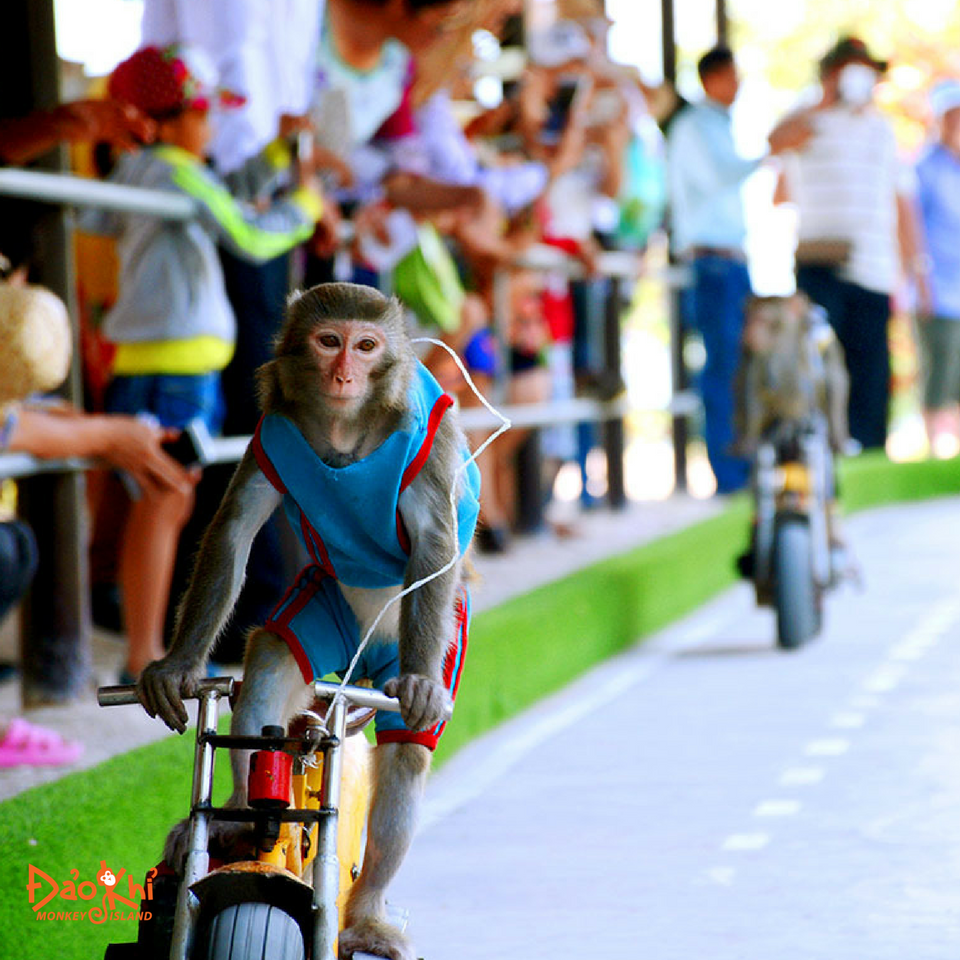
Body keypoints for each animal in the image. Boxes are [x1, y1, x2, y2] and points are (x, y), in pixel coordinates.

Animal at [135, 282, 480, 960]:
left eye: (366, 345)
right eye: (328, 340)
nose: (344, 372)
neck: (347, 427)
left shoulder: (430, 443)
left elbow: (433, 543)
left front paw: (421, 686)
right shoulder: (272, 430)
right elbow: (233, 532)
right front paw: (178, 666)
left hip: (428, 644)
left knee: (406, 752)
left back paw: (366, 915)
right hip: (324, 606)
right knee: (274, 657)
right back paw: (239, 818)